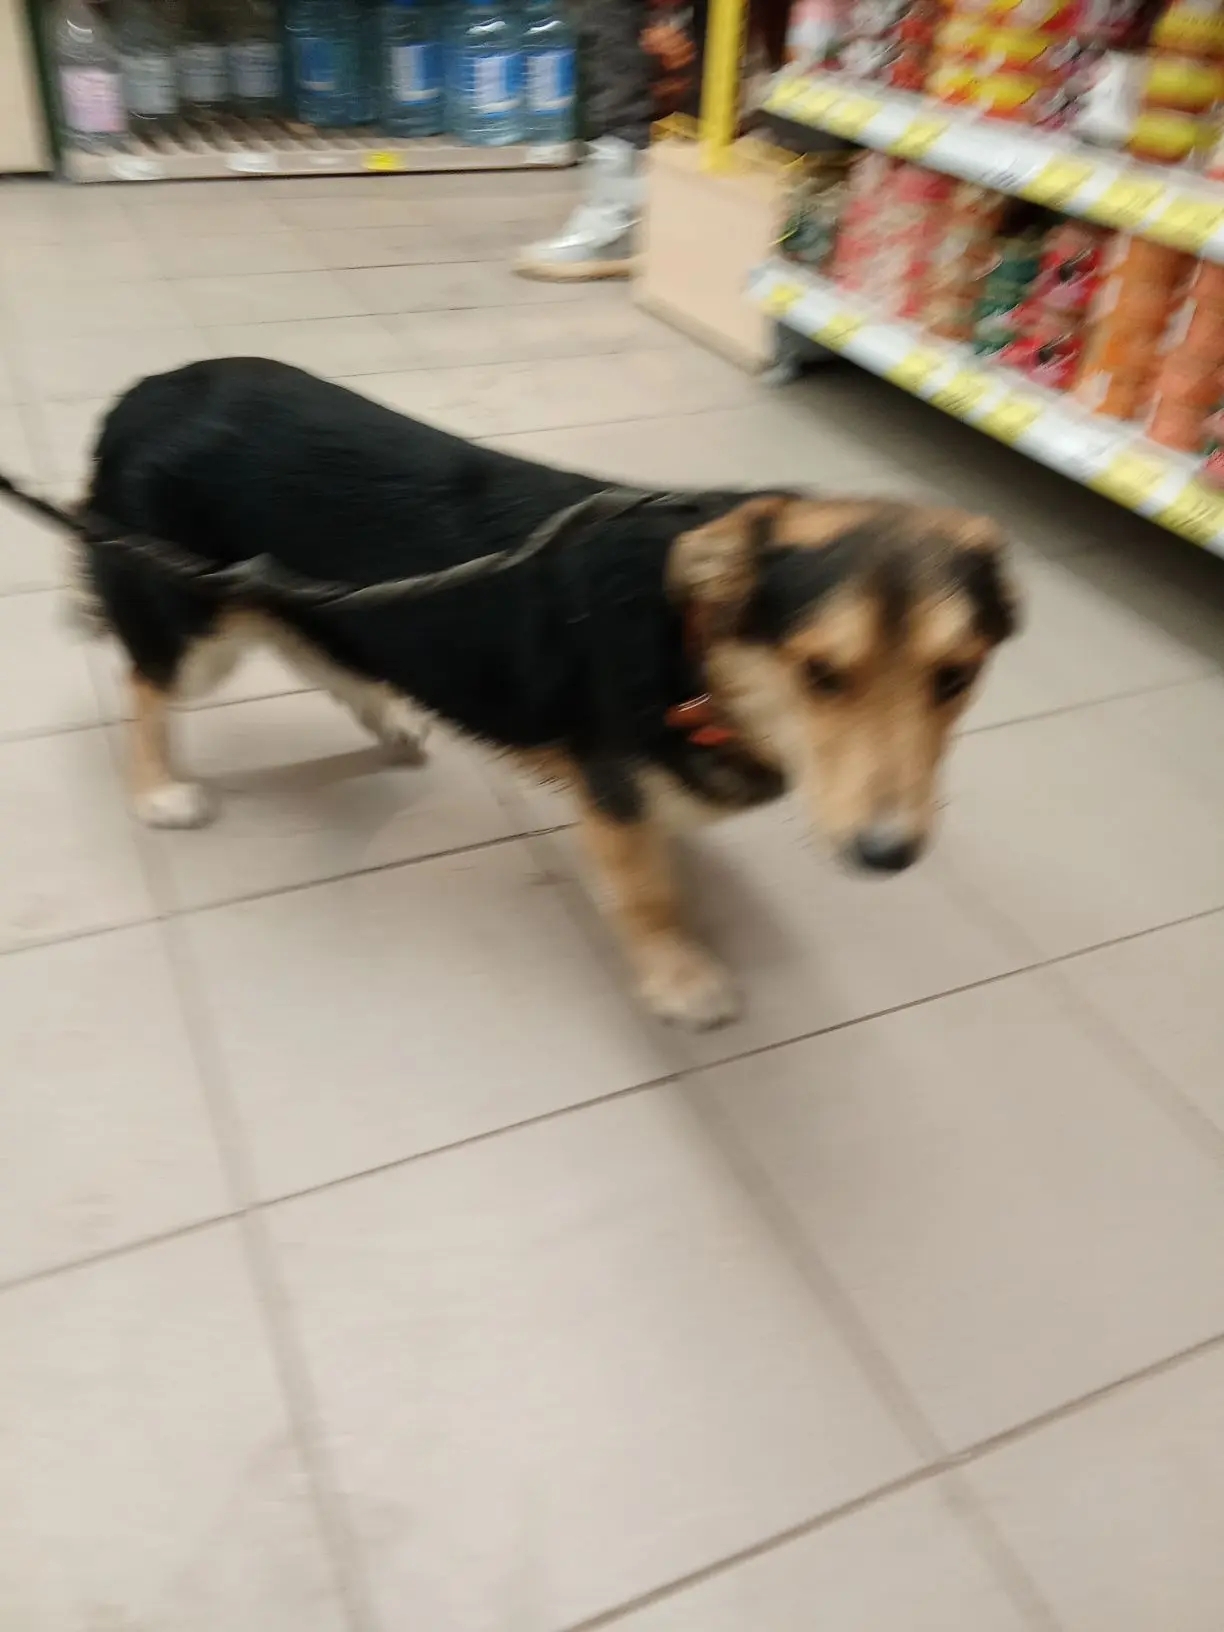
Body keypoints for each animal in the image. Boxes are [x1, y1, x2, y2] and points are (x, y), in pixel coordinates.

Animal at [58, 356, 1017, 1028]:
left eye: (954, 676)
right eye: (821, 674)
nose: (890, 856)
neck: (696, 657)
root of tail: (142, 394)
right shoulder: (613, 788)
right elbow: (647, 890)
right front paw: (677, 972)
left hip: (307, 602)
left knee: (323, 651)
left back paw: (387, 720)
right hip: (196, 629)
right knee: (146, 683)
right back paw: (158, 790)